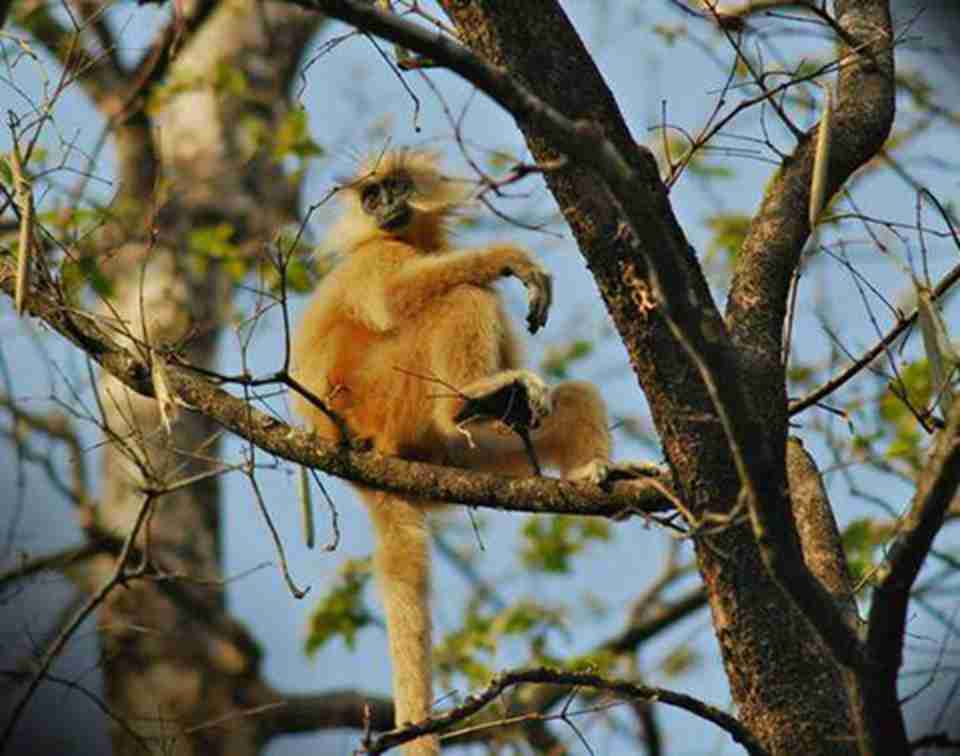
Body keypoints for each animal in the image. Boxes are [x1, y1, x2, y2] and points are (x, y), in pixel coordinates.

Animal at [290, 149, 624, 756]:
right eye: (370, 196)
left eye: (395, 188)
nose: (386, 205)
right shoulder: (372, 258)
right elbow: (394, 296)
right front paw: (508, 259)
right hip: (389, 397)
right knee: (463, 295)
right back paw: (470, 397)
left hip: (450, 452)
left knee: (571, 396)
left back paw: (590, 468)